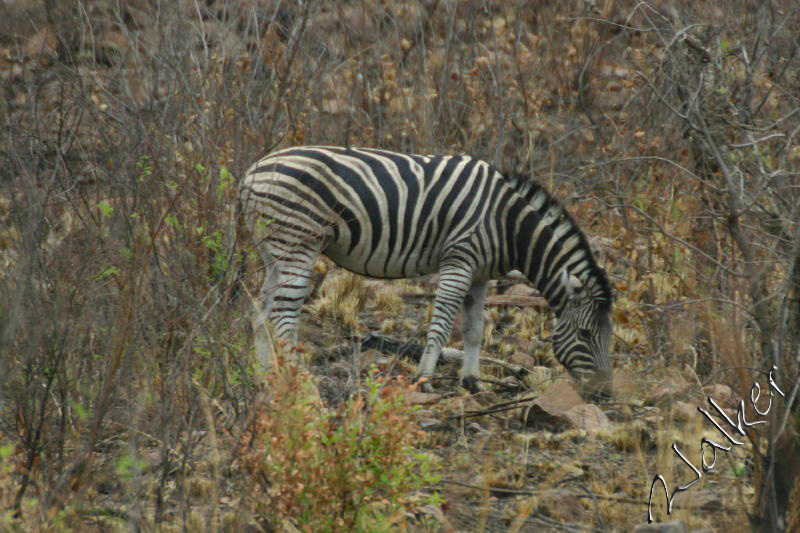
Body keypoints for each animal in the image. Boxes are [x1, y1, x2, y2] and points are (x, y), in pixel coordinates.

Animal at [238, 145, 612, 400]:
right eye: (585, 335)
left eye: (608, 335)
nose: (604, 393)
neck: (507, 223)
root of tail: (252, 171)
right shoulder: (459, 260)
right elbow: (443, 325)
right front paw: (425, 379)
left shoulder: (481, 274)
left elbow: (474, 330)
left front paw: (473, 383)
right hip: (297, 244)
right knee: (284, 317)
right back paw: (296, 379)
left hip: (275, 252)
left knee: (259, 312)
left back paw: (263, 377)